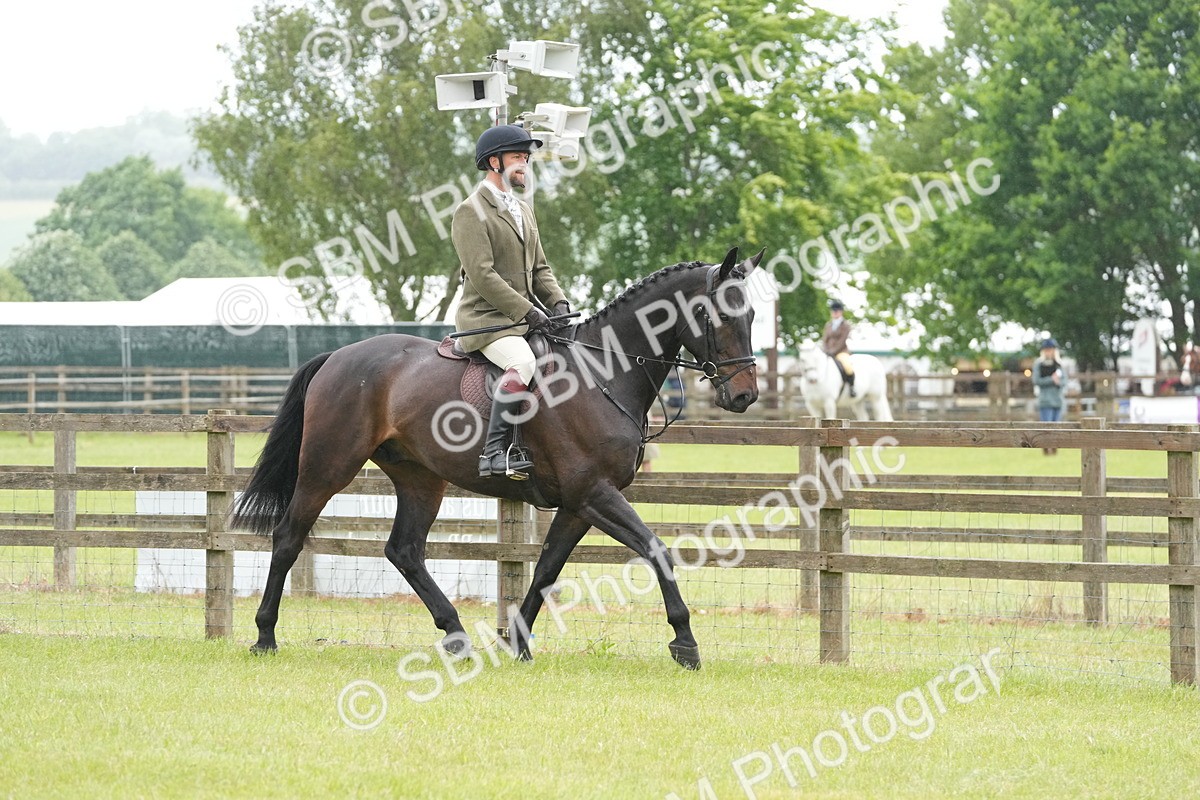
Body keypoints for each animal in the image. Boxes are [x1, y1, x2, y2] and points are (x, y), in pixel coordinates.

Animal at [232, 247, 764, 670]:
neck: (603, 372)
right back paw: (264, 636)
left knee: (404, 550)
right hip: (328, 466)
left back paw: (456, 635)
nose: (744, 396)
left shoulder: (578, 504)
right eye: (719, 315)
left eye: (753, 315)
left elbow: (547, 569)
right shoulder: (595, 493)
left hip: (420, 478)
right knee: (289, 536)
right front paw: (685, 642)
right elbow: (656, 549)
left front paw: (518, 644)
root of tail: (337, 357)